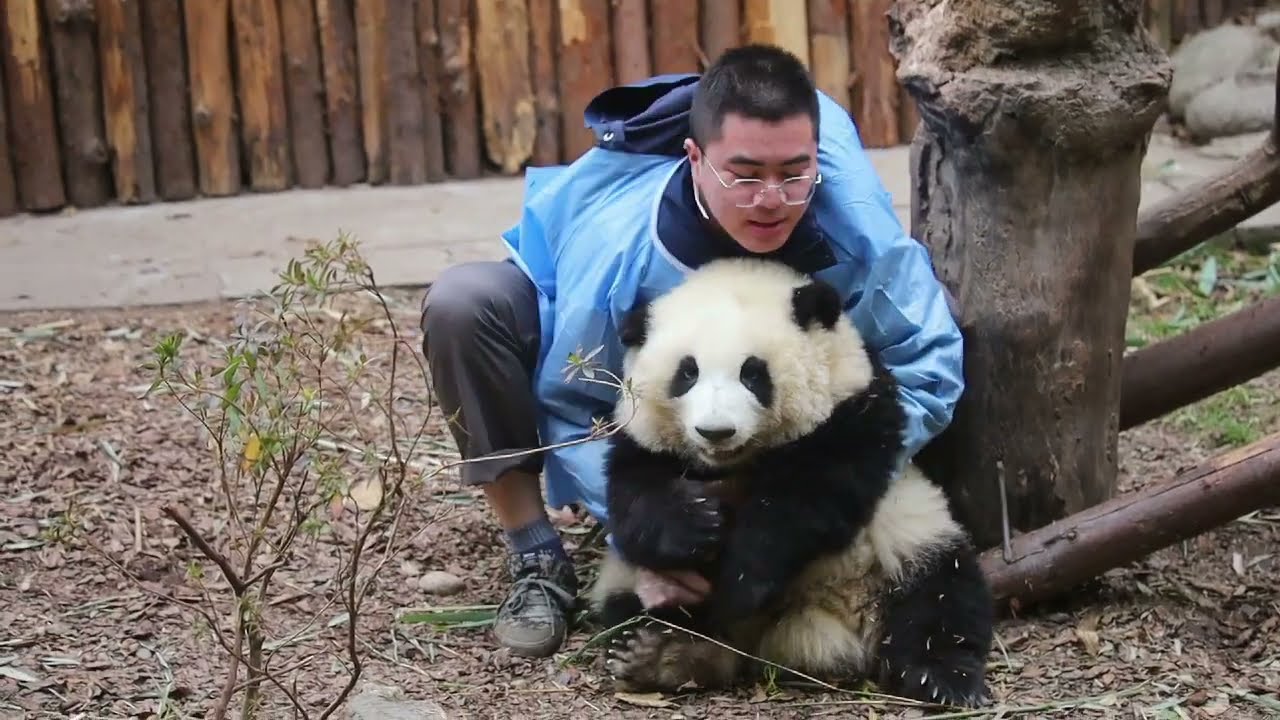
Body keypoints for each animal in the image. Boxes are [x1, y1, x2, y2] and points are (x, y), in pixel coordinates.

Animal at [588, 256, 994, 708]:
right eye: (687, 373)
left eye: (752, 373)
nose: (716, 431)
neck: (734, 464)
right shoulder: (645, 442)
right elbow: (636, 499)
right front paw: (694, 524)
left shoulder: (854, 412)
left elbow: (807, 502)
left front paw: (742, 579)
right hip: (627, 582)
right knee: (635, 609)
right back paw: (666, 653)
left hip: (906, 537)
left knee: (941, 595)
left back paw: (942, 678)